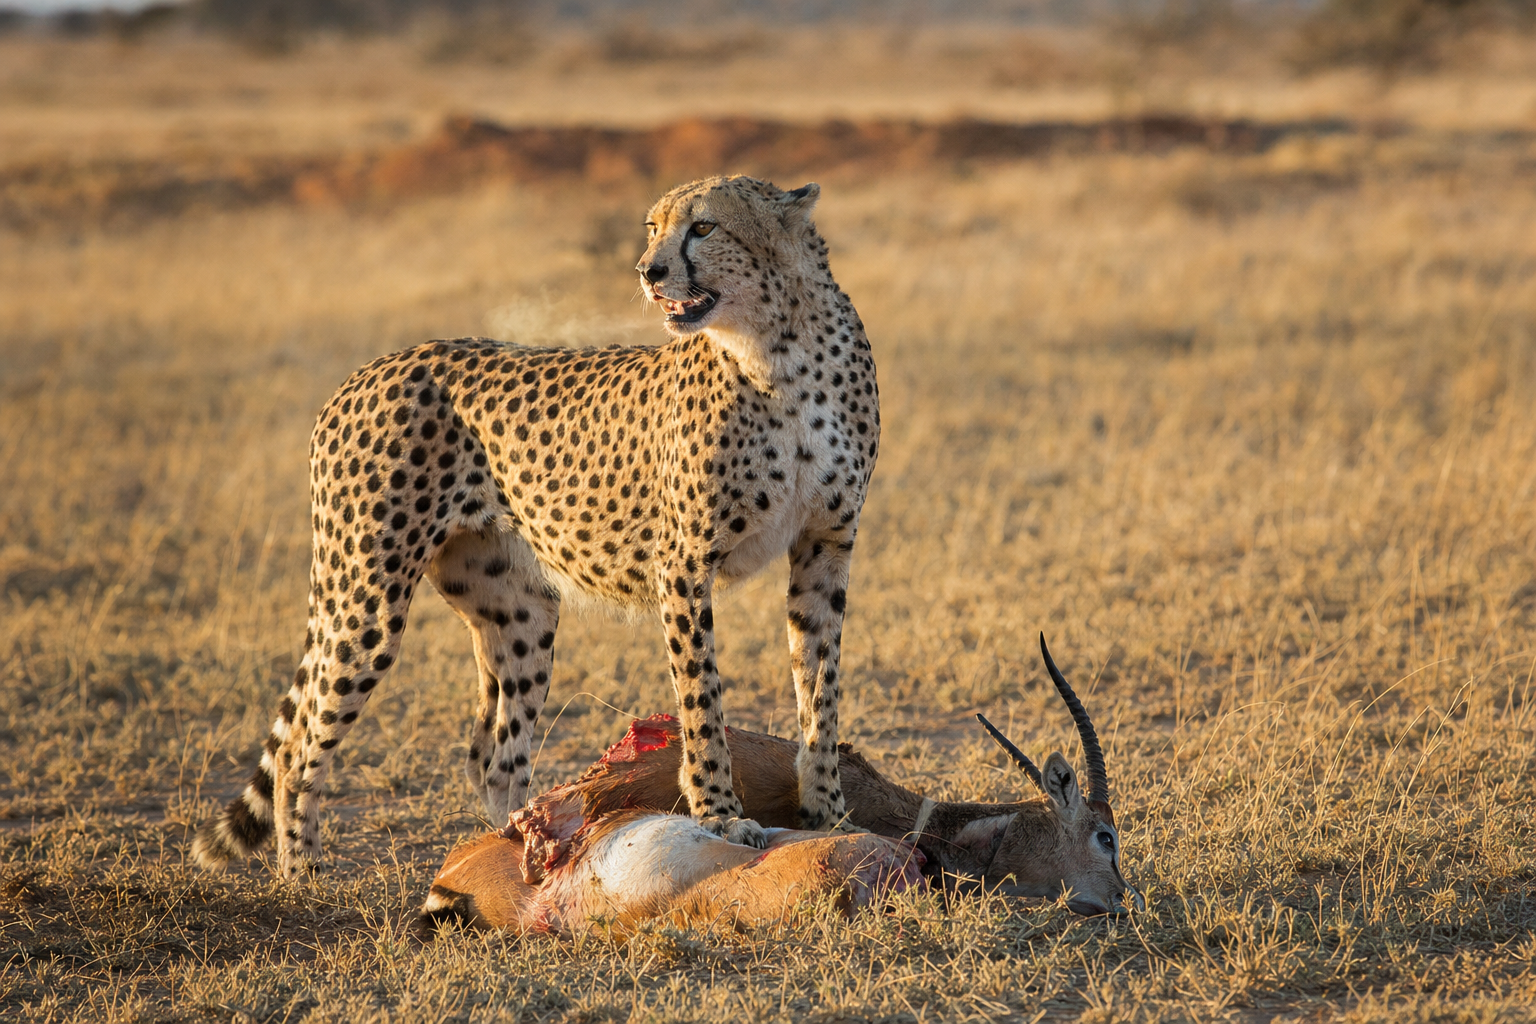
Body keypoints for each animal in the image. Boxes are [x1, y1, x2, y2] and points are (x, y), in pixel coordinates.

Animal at [191, 175, 881, 877]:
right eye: (653, 227)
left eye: (705, 227)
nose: (649, 271)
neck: (778, 350)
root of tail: (370, 369)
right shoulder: (684, 565)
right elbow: (703, 700)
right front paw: (720, 814)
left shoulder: (826, 545)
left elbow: (820, 690)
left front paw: (828, 811)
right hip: (366, 597)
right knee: (300, 744)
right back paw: (303, 873)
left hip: (519, 610)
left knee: (492, 755)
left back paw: (521, 847)